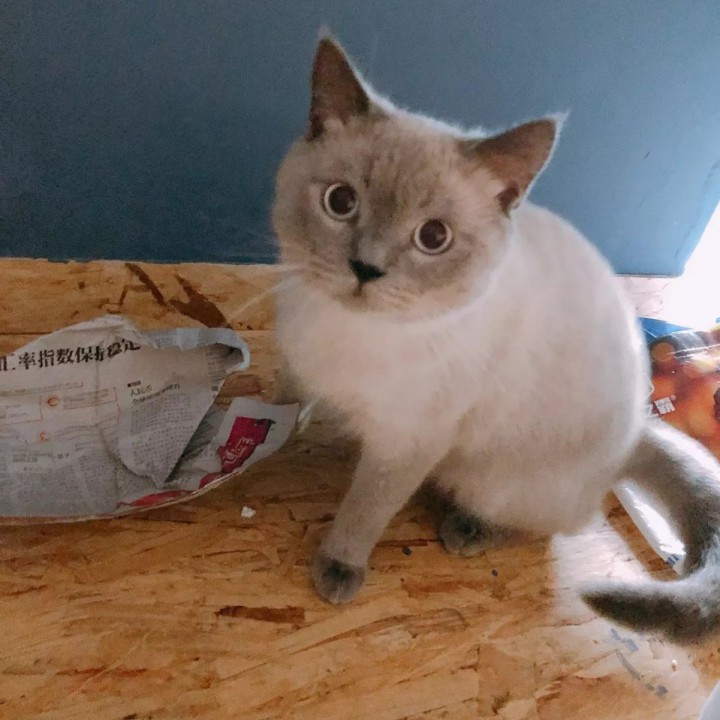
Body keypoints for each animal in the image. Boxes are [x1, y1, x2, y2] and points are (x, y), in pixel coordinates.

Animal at [271, 35, 720, 644]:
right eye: (340, 202)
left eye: (433, 238)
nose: (365, 270)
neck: (354, 331)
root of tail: (633, 437)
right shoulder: (297, 358)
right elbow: (286, 400)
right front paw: (265, 441)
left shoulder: (408, 441)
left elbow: (366, 509)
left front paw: (339, 568)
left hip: (486, 476)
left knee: (560, 523)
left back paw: (468, 531)